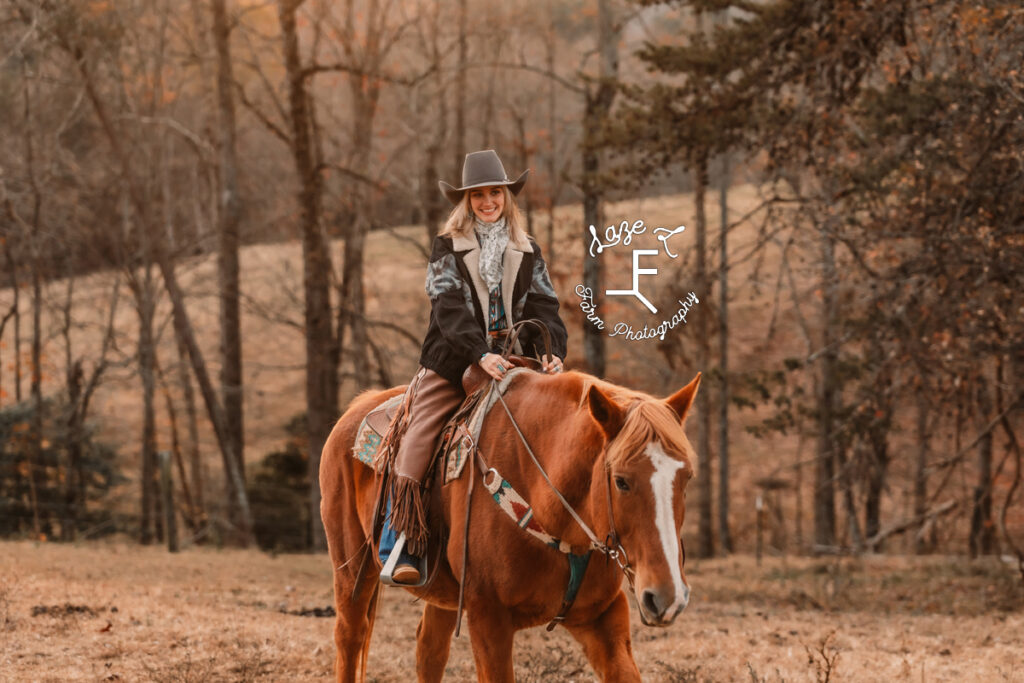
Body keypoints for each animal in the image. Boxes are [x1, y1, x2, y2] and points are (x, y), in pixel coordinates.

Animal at [321, 368, 704, 683]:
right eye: (621, 481)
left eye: (686, 477)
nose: (667, 597)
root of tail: (358, 406)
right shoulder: (488, 619)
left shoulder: (603, 616)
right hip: (352, 570)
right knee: (349, 636)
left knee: (429, 649)